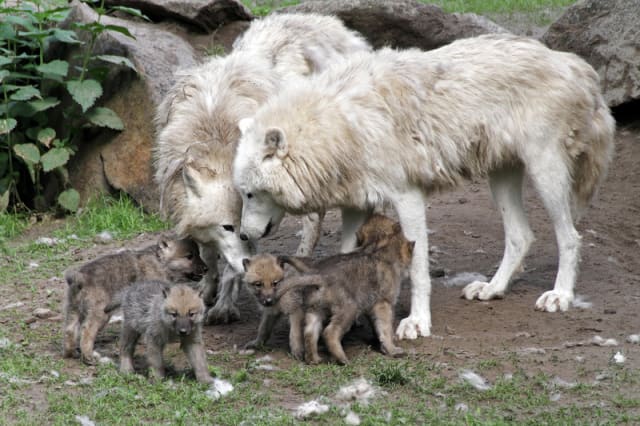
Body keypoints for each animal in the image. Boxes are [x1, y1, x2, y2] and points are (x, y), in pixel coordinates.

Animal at [62, 237, 206, 364]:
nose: (206, 268)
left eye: (198, 254)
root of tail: (79, 277)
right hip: (101, 314)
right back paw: (89, 357)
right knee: (86, 332)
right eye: (189, 256)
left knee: (70, 330)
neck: (160, 263)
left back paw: (72, 353)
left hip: (74, 310)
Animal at [153, 13, 371, 324]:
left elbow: (231, 267)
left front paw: (224, 304)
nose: (248, 263)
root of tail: (325, 23)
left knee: (313, 221)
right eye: (227, 226)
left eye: (240, 222)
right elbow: (207, 253)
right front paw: (207, 287)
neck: (215, 136)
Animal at [233, 34, 615, 340]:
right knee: (522, 236)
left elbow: (417, 270)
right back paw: (492, 288)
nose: (243, 235)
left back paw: (560, 295)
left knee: (570, 237)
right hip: (501, 177)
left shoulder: (408, 198)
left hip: (545, 172)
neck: (339, 127)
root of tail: (570, 61)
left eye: (251, 193)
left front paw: (417, 322)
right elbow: (344, 255)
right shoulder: (357, 205)